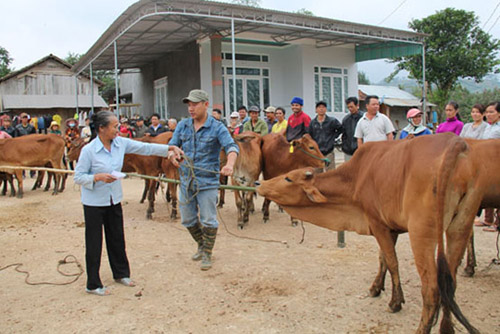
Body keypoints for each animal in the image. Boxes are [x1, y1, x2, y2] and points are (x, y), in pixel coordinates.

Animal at [256, 134, 478, 334]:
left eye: (288, 178)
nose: (259, 184)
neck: (356, 177)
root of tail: (454, 144)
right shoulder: (390, 228)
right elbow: (383, 259)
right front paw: (376, 288)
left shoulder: (378, 224)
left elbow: (392, 262)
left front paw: (395, 302)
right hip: (460, 228)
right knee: (450, 283)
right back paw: (447, 328)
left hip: (421, 234)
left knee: (432, 289)